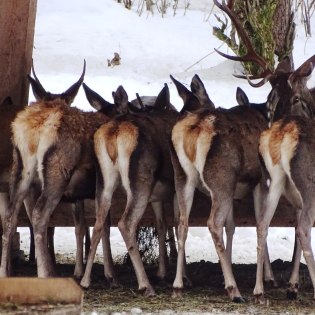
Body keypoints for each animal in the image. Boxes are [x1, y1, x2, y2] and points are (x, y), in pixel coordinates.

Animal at [80, 77, 216, 296]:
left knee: (99, 222)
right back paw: (145, 284)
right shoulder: (175, 187)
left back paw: (86, 281)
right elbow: (177, 223)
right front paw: (183, 277)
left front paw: (163, 271)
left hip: (103, 180)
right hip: (140, 181)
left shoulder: (159, 195)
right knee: (125, 223)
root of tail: (114, 132)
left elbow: (161, 224)